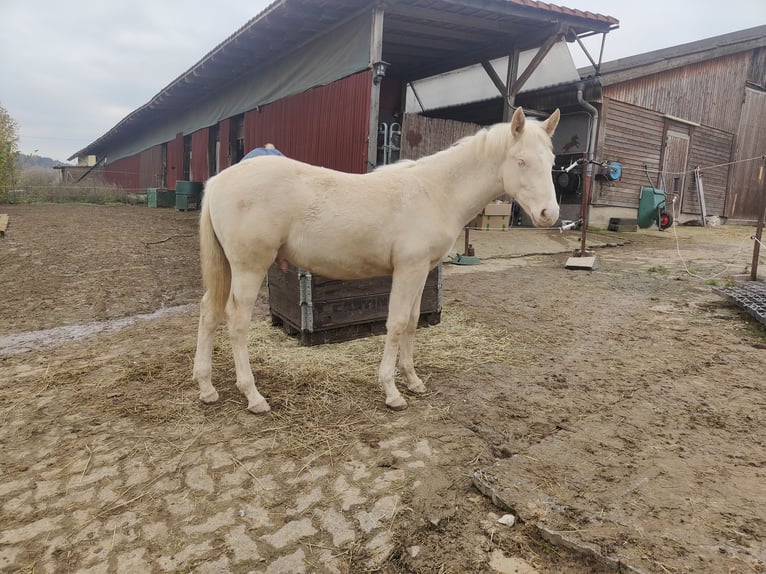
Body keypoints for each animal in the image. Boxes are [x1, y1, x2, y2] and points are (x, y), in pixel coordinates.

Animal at [195, 108, 560, 414]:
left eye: (553, 160)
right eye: (521, 160)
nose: (549, 214)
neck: (435, 191)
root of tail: (219, 181)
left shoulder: (422, 271)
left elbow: (412, 321)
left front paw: (412, 380)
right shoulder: (408, 270)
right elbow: (396, 323)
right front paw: (392, 391)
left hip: (229, 268)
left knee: (209, 311)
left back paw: (206, 386)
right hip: (249, 268)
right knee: (236, 321)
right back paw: (253, 395)